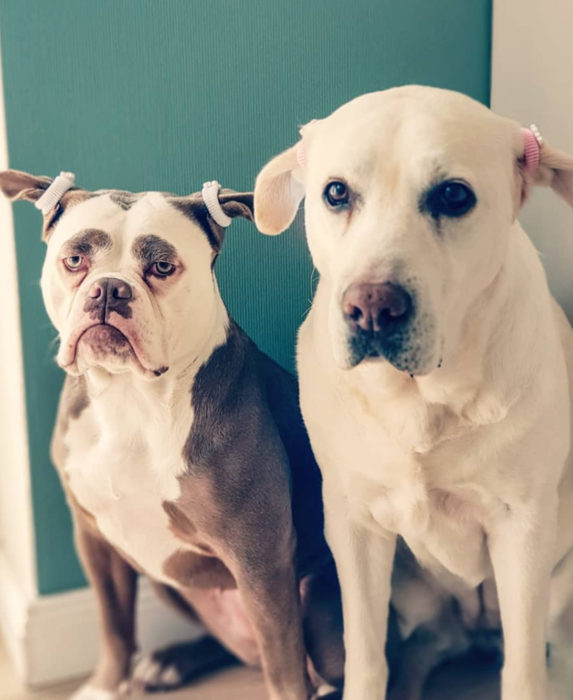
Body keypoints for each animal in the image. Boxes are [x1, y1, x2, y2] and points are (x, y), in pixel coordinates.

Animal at [0, 171, 342, 700]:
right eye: (74, 260)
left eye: (162, 266)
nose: (109, 290)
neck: (131, 399)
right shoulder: (95, 540)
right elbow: (114, 626)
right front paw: (105, 686)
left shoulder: (260, 557)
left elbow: (283, 665)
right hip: (167, 578)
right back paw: (169, 661)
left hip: (326, 603)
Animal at [252, 89, 572, 700]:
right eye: (336, 192)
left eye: (454, 195)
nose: (372, 307)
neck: (420, 403)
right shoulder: (353, 528)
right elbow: (366, 657)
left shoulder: (522, 531)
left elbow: (524, 670)